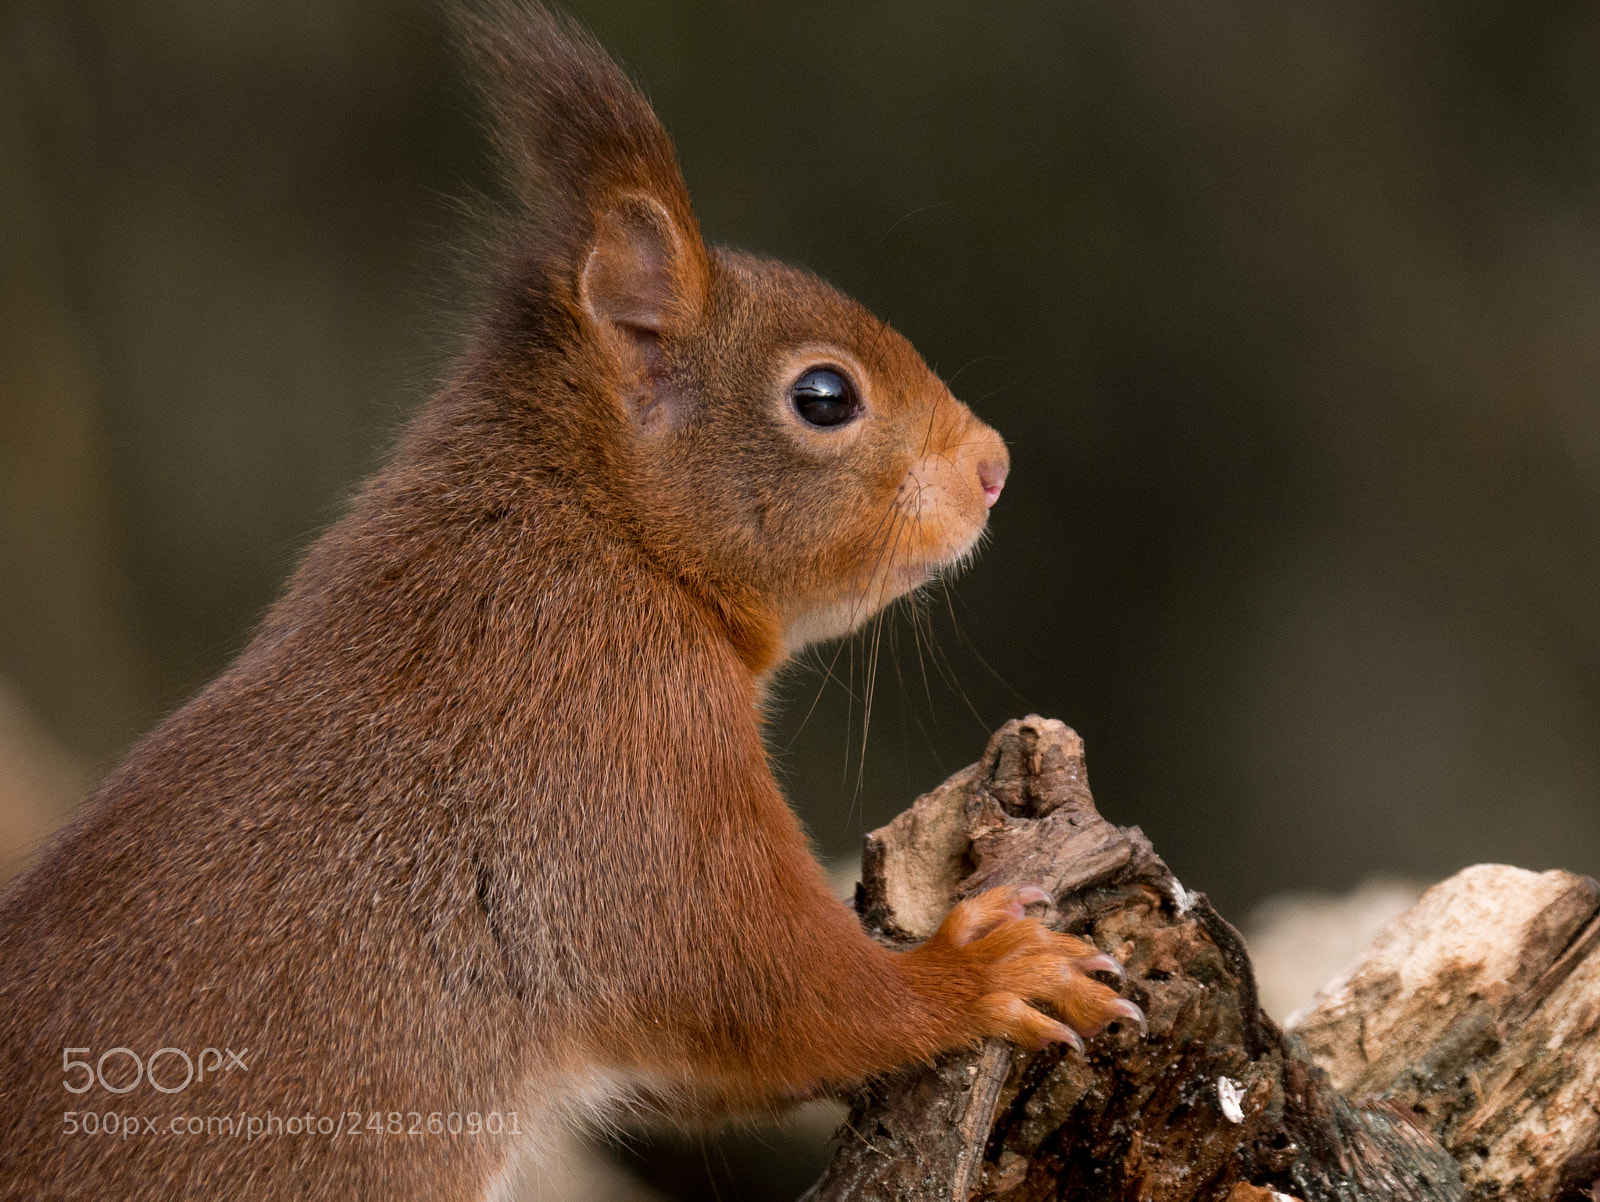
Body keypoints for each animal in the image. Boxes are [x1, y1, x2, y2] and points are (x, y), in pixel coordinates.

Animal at [0, 6, 1141, 1199]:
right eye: (824, 396)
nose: (994, 466)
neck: (606, 543)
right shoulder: (623, 769)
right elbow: (768, 984)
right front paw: (980, 974)